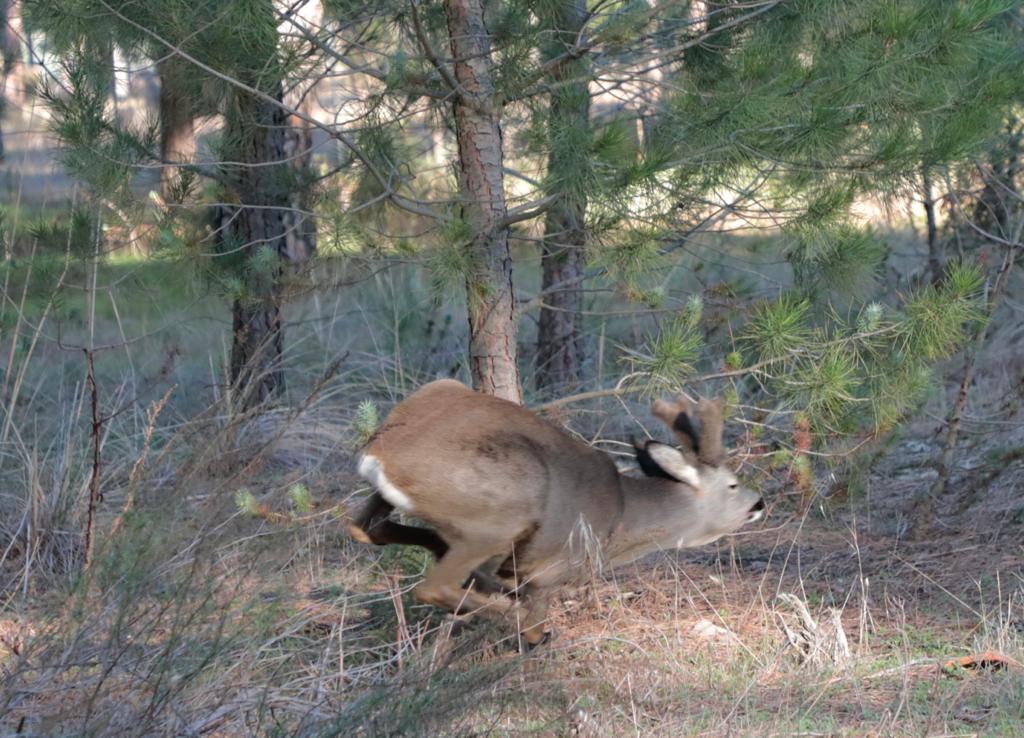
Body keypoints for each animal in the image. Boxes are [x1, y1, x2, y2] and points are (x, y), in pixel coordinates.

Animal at [348, 380, 765, 646]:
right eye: (732, 484)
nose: (759, 503)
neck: (621, 517)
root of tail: (380, 453)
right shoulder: (552, 568)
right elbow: (537, 612)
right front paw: (535, 631)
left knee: (365, 527)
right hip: (503, 509)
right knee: (433, 585)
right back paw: (509, 612)